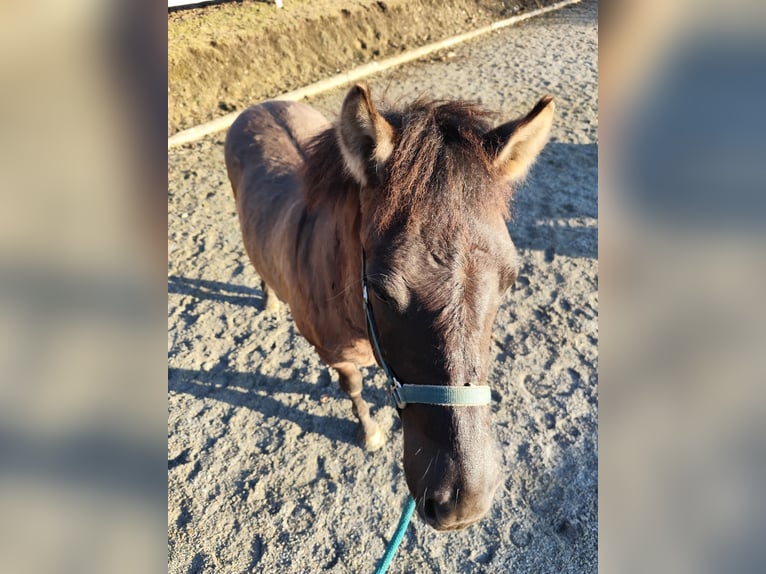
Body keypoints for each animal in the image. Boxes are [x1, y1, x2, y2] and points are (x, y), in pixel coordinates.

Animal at [225, 84, 556, 532]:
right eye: (381, 291)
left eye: (510, 279)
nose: (463, 504)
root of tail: (259, 106)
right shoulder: (334, 356)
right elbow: (352, 388)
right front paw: (369, 431)